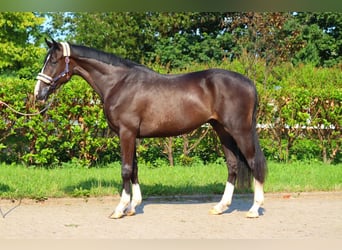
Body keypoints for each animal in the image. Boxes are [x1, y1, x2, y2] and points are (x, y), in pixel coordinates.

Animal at [34, 39, 268, 219]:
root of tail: (249, 82)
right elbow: (134, 168)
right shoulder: (132, 135)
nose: (38, 93)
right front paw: (132, 206)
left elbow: (126, 169)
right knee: (233, 165)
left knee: (254, 163)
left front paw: (119, 209)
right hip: (222, 131)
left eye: (53, 61)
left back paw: (254, 209)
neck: (119, 83)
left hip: (240, 131)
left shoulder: (126, 132)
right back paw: (220, 207)